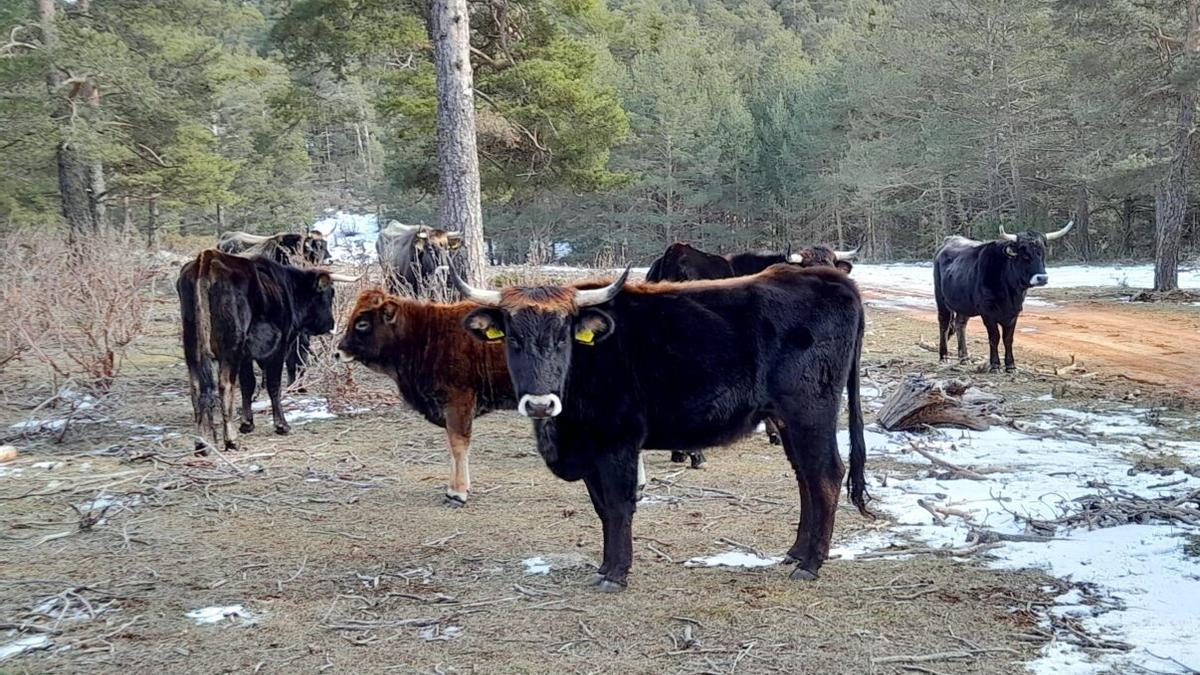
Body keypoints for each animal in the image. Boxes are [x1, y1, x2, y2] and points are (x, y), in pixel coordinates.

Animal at [177, 249, 355, 452]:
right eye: (330, 293)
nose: (331, 324)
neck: (287, 289)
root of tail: (208, 258)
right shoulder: (278, 348)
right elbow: (273, 385)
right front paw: (281, 425)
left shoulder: (246, 356)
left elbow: (248, 384)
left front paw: (247, 423)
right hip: (231, 347)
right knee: (225, 385)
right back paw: (230, 439)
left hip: (191, 346)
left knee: (197, 387)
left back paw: (201, 442)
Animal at [333, 287, 650, 505]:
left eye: (362, 323)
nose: (338, 350)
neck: (424, 333)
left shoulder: (459, 402)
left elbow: (458, 444)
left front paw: (457, 492)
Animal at [454, 264, 871, 591]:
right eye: (514, 338)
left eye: (562, 337)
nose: (540, 403)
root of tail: (829, 278)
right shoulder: (592, 452)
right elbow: (602, 508)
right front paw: (605, 566)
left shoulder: (618, 442)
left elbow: (619, 506)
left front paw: (616, 574)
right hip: (787, 421)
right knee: (805, 479)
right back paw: (795, 552)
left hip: (810, 413)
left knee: (826, 476)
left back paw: (810, 564)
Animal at [934, 221, 1073, 372]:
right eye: (1025, 255)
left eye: (1042, 254)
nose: (1042, 278)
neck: (1009, 292)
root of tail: (949, 240)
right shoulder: (987, 311)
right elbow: (994, 337)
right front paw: (995, 365)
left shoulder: (1014, 313)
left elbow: (1008, 338)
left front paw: (1010, 365)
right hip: (941, 300)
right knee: (944, 325)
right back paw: (944, 356)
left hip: (964, 305)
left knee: (960, 324)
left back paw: (964, 358)